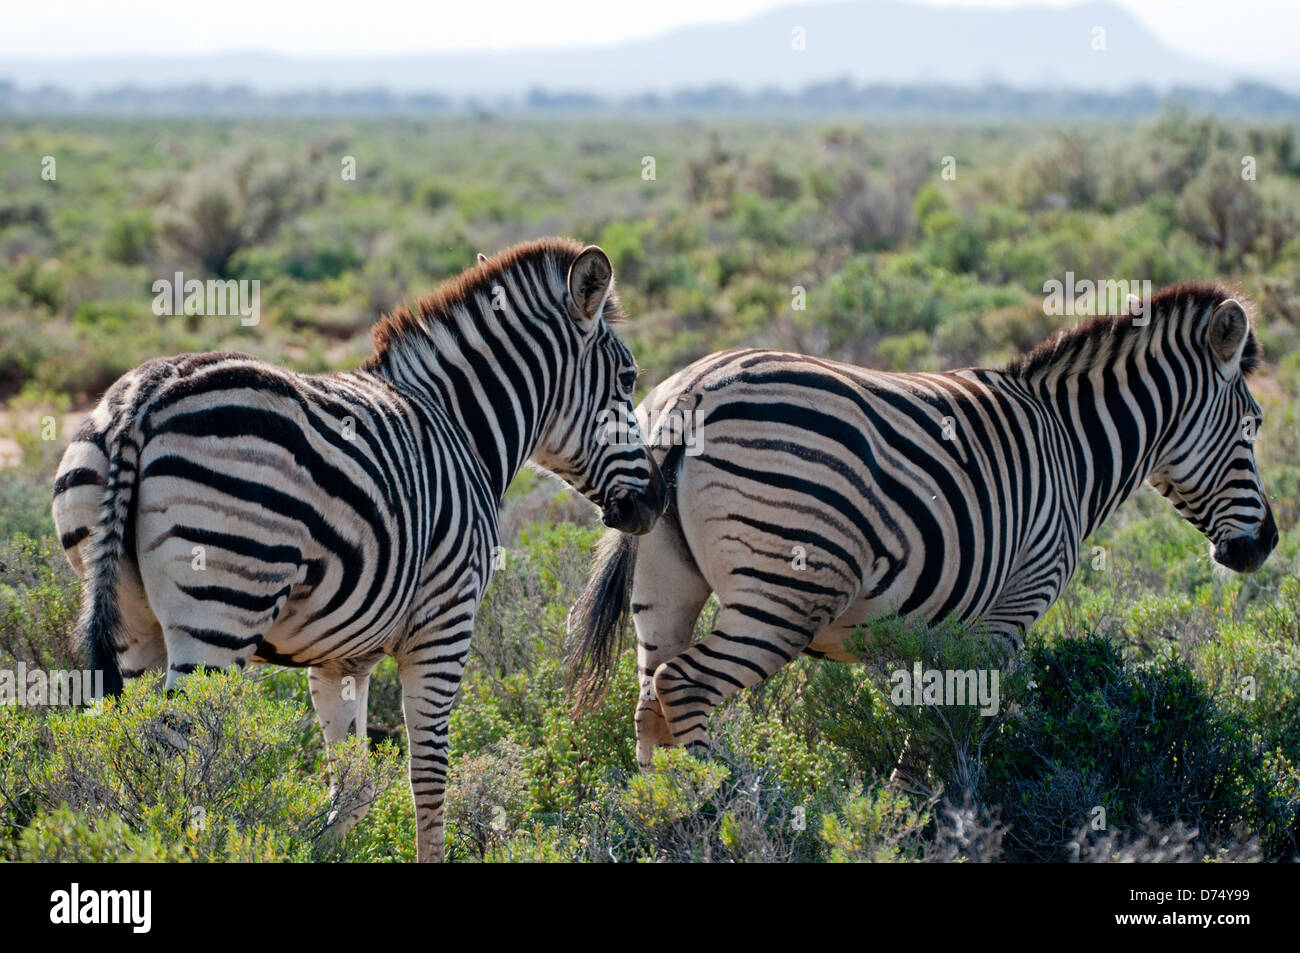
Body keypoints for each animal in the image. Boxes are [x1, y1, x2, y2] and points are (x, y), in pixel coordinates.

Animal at [52, 239, 665, 863]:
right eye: (628, 378)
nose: (658, 500)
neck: (462, 429)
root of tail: (145, 396)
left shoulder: (339, 658)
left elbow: (352, 790)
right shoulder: (444, 624)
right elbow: (428, 778)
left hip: (132, 623)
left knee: (127, 755)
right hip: (220, 610)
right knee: (177, 763)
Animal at [572, 280, 1279, 764]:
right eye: (1254, 426)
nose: (1267, 544)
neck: (1070, 447)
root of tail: (686, 397)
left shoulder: (922, 630)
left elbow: (919, 718)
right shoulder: (1011, 610)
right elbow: (958, 727)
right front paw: (951, 808)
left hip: (663, 578)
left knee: (649, 705)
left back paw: (667, 820)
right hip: (787, 590)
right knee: (685, 687)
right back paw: (723, 809)